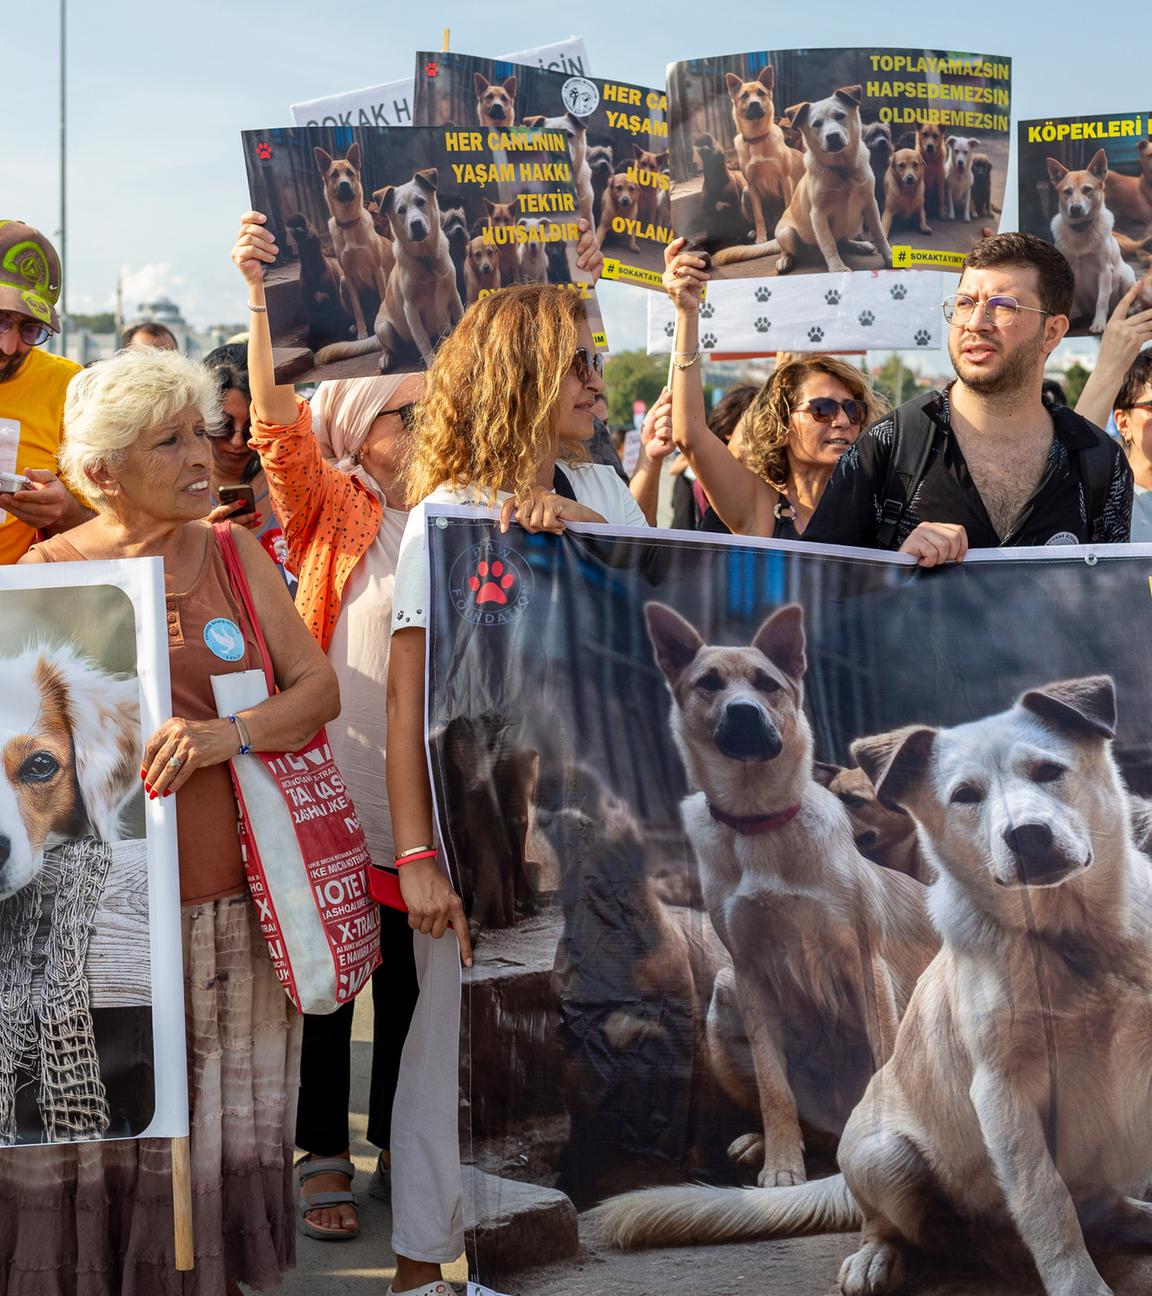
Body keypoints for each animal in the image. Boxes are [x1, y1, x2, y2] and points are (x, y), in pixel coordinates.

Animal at [593, 673, 1152, 1296]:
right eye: (965, 795)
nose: (1028, 836)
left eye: (1049, 770)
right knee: (903, 1227)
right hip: (884, 1156)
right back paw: (883, 1256)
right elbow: (1045, 1200)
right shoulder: (1002, 1092)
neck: (1074, 941)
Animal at [634, 601, 938, 1187]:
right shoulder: (750, 974)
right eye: (708, 683)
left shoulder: (866, 964)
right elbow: (775, 1088)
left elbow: (883, 1057)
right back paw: (766, 1144)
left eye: (766, 684)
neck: (760, 823)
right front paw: (780, 1165)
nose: (744, 714)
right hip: (722, 1002)